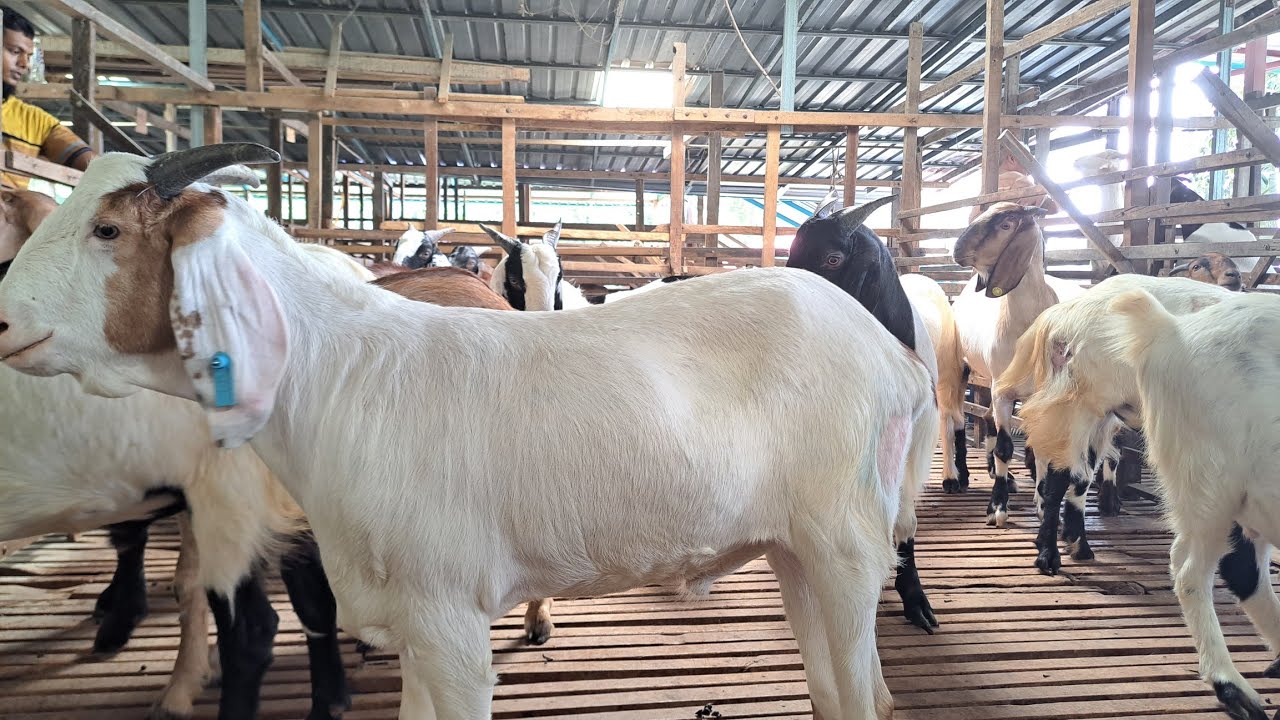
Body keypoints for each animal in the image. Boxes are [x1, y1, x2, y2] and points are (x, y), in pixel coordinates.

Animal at [0, 145, 939, 720]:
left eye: (107, 228)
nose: (4, 320)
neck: (344, 376)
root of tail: (891, 356)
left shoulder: (450, 622)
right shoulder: (416, 625)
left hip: (847, 545)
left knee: (863, 694)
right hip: (797, 548)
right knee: (837, 689)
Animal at [952, 202, 1087, 528]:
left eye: (1006, 224)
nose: (957, 249)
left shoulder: (1041, 396)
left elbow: (1039, 447)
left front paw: (1043, 504)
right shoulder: (1002, 390)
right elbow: (1004, 448)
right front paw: (997, 508)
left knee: (987, 418)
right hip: (972, 370)